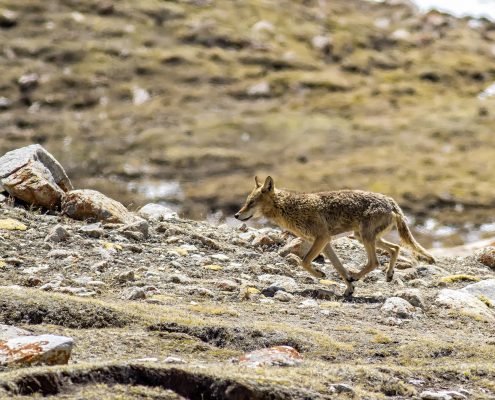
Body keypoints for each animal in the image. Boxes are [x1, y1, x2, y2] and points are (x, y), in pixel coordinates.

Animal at [235, 177, 434, 296]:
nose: (236, 215)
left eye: (251, 203)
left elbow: (304, 262)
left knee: (375, 262)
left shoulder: (321, 239)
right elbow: (339, 268)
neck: (289, 207)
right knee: (395, 248)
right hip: (364, 237)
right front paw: (349, 288)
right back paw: (388, 275)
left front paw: (321, 273)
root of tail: (392, 202)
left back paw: (358, 275)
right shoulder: (326, 243)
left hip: (365, 238)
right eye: (246, 202)